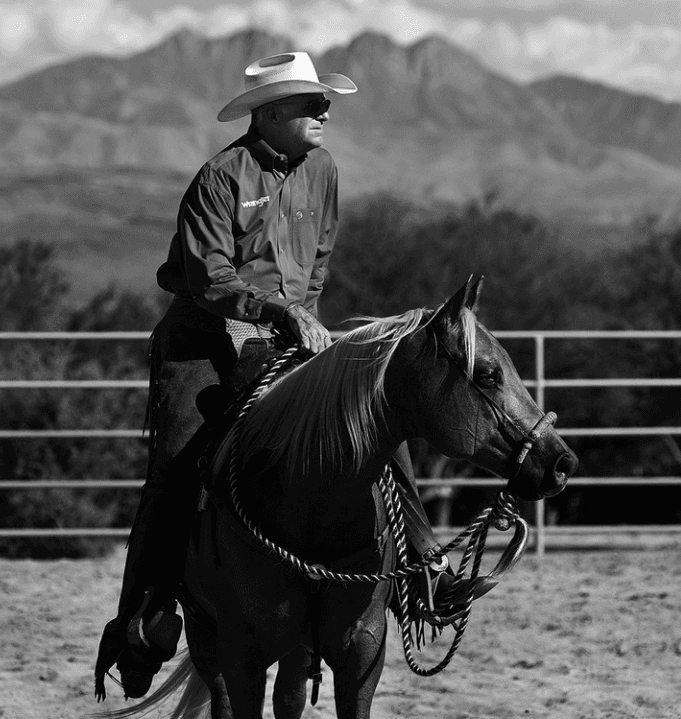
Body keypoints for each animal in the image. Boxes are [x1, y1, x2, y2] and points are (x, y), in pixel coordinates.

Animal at [102, 277, 577, 719]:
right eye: (489, 375)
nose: (561, 462)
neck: (312, 506)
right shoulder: (242, 655)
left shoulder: (362, 650)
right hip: (205, 632)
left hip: (297, 647)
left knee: (290, 697)